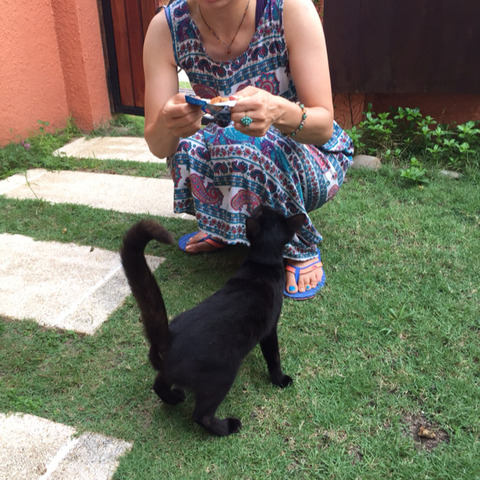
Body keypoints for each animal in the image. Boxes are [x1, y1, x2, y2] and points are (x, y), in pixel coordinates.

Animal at [120, 205, 306, 436]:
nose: (259, 204)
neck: (262, 263)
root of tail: (167, 339)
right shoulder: (270, 329)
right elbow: (274, 357)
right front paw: (280, 380)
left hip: (170, 372)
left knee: (158, 385)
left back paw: (174, 398)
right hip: (223, 376)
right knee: (201, 415)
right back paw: (228, 426)